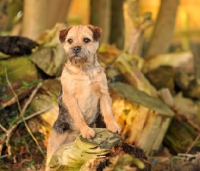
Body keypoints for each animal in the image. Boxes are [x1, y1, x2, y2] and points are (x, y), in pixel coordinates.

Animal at [45, 25, 120, 170]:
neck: (84, 69)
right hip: (52, 152)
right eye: (70, 41)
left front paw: (112, 125)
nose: (76, 48)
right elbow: (79, 116)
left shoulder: (104, 94)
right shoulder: (71, 97)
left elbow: (108, 112)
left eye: (86, 40)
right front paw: (86, 130)